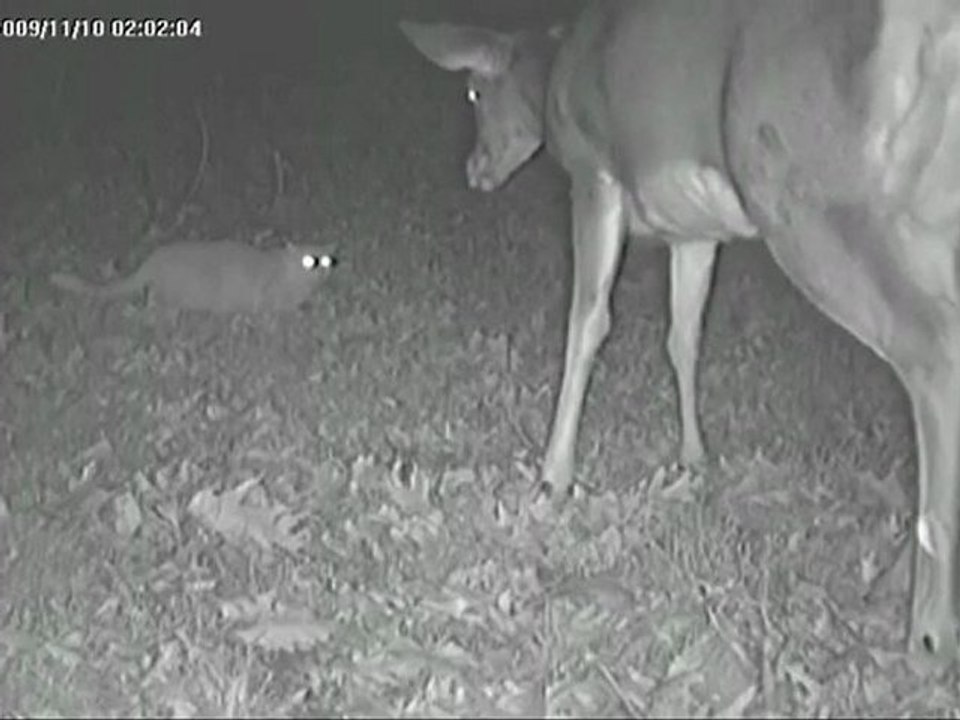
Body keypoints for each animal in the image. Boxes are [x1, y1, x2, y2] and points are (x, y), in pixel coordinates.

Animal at [401, 0, 960, 665]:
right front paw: (694, 457)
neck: (559, 70)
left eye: (473, 90)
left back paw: (927, 627)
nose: (475, 170)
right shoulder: (695, 228)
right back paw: (897, 582)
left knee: (930, 352)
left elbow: (588, 320)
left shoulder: (595, 171)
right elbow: (685, 334)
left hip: (818, 196)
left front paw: (553, 475)